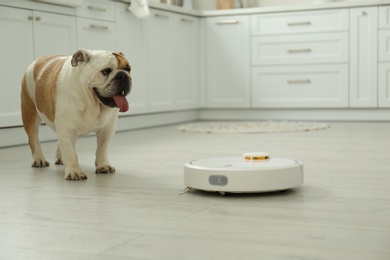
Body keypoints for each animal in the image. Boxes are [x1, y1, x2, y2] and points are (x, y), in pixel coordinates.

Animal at [21, 48, 133, 181]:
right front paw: (74, 172)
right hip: (30, 113)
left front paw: (103, 165)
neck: (91, 102)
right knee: (34, 139)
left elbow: (102, 149)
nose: (123, 75)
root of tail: (37, 61)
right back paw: (39, 160)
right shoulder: (66, 131)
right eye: (106, 71)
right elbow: (70, 153)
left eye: (128, 69)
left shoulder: (107, 129)